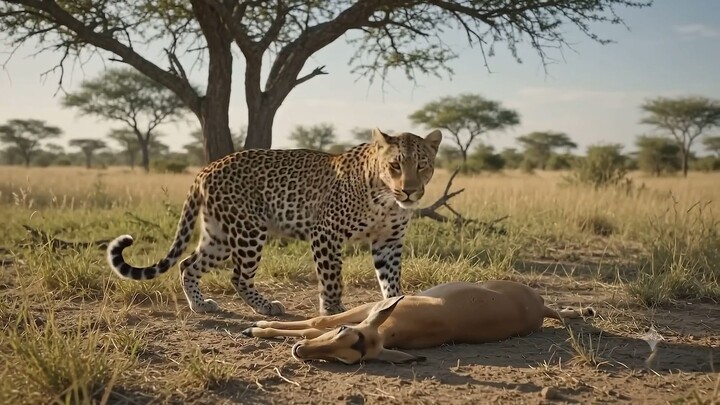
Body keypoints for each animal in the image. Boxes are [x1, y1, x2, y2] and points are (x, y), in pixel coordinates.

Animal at [107, 128, 442, 316]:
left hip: (219, 237)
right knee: (238, 277)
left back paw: (200, 305)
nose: (409, 191)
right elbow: (332, 278)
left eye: (422, 166)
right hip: (248, 231)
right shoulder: (326, 233)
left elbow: (391, 279)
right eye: (395, 165)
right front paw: (333, 310)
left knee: (187, 264)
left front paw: (398, 305)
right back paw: (266, 306)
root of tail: (207, 167)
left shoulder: (388, 241)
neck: (386, 199)